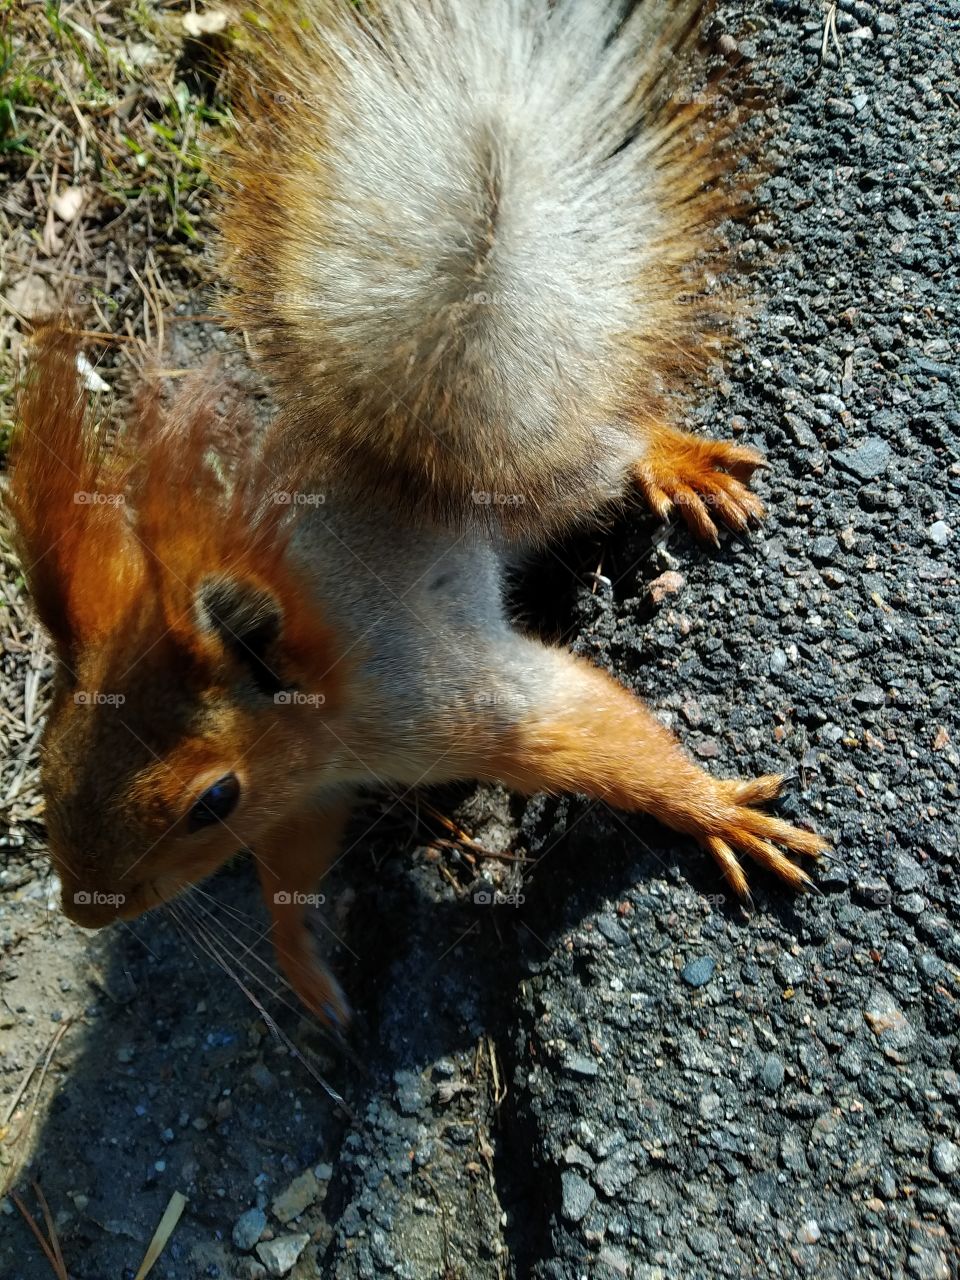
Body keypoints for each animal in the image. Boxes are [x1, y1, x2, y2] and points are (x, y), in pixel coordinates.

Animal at [5, 0, 827, 1031]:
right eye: (49, 759)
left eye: (212, 802)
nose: (84, 914)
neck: (329, 705)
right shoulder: (311, 782)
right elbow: (294, 864)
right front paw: (302, 968)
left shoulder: (432, 696)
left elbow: (586, 730)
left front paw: (710, 807)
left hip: (545, 481)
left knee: (605, 451)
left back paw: (673, 462)